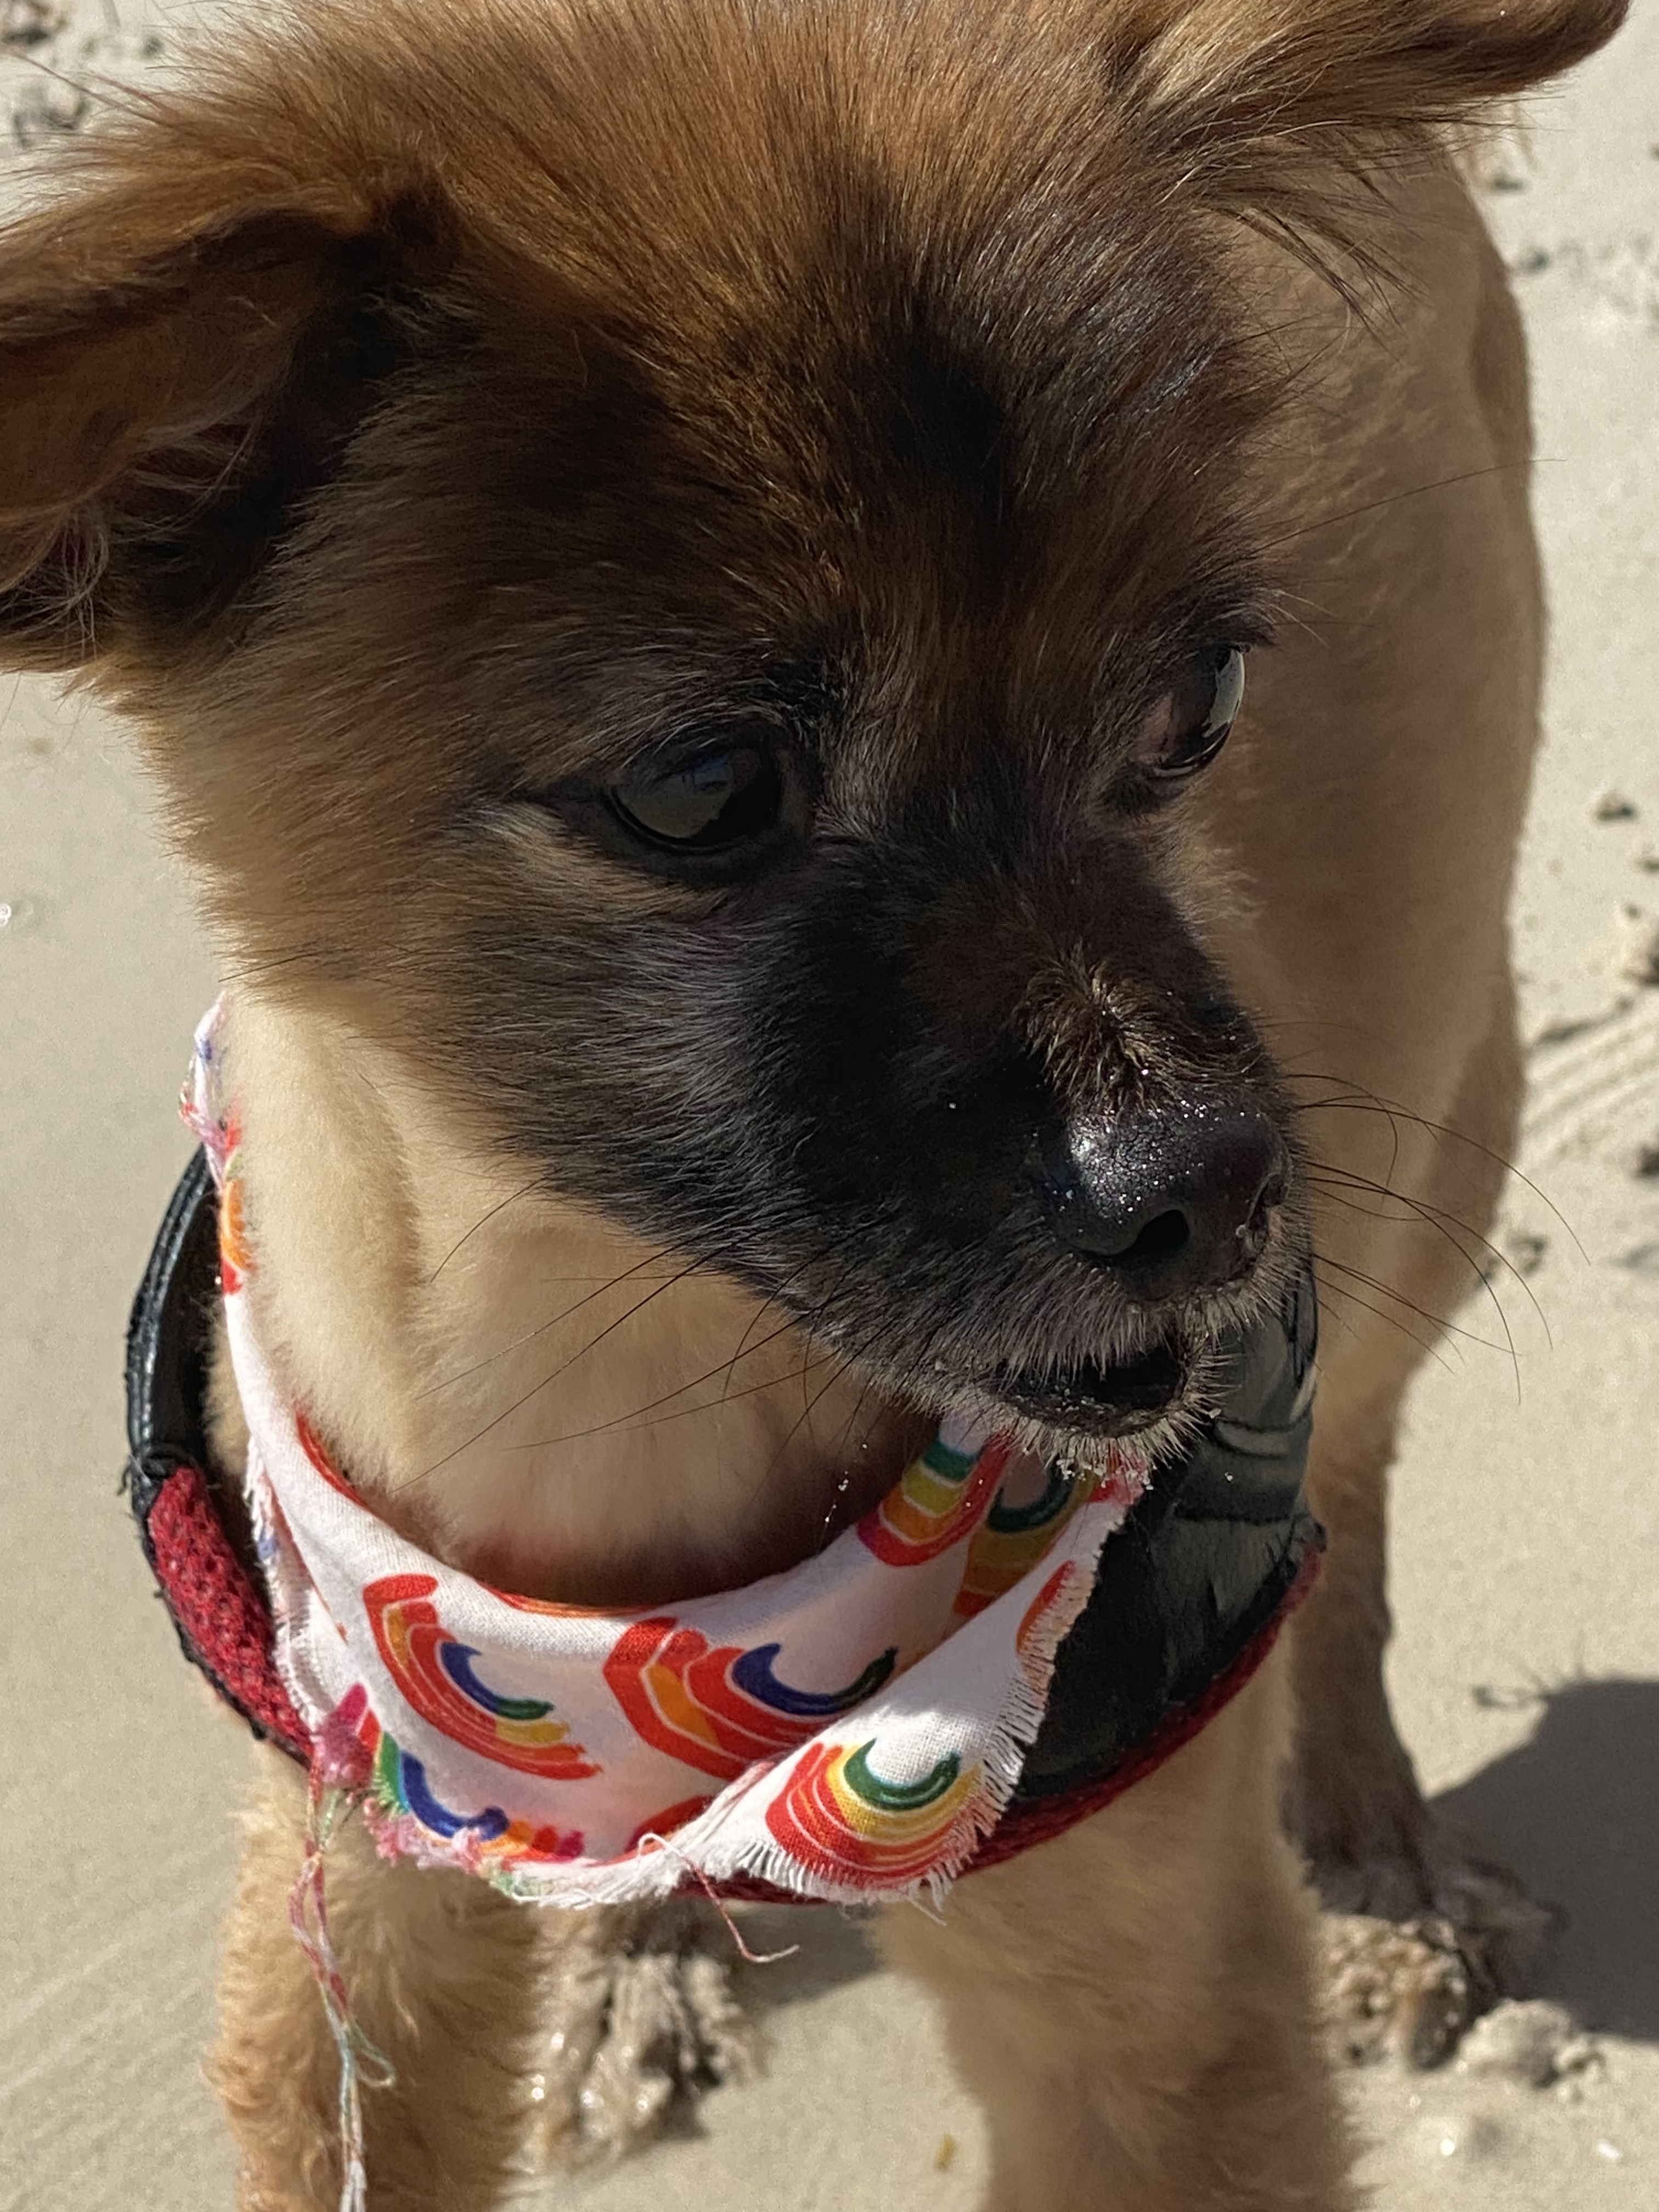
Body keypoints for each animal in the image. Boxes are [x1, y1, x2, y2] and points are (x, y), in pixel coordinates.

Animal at [0, 0, 1637, 2203]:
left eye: (1196, 705)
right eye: (703, 790)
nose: (1218, 1187)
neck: (595, 1407)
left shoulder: (1159, 2042)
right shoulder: (351, 1906)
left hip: (1442, 1137)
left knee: (1357, 1480)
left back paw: (1372, 1835)